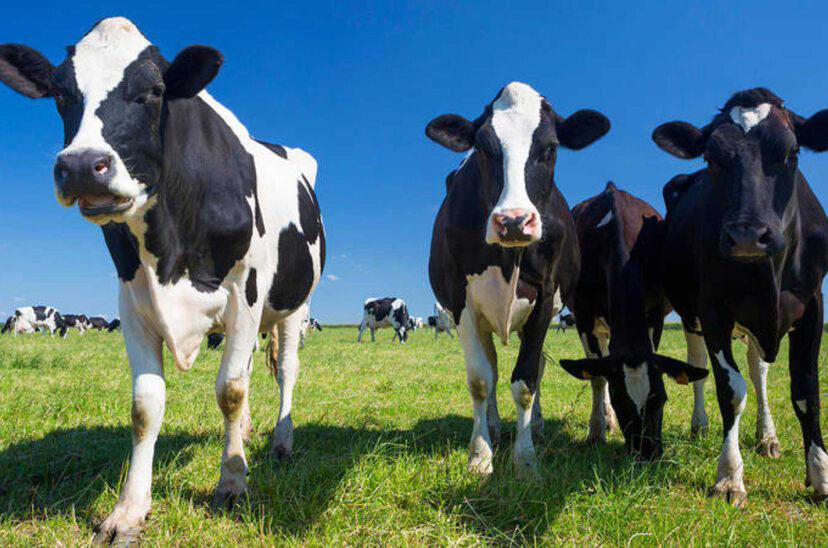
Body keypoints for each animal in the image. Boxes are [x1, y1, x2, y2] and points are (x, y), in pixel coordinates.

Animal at [0, 18, 325, 542]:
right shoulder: (132, 300)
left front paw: (232, 483)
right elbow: (145, 406)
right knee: (250, 369)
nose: (81, 165)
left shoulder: (245, 293)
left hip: (293, 306)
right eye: (60, 93)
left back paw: (280, 442)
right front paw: (129, 509)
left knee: (285, 370)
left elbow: (229, 390)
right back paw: (247, 433)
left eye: (153, 91)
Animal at [426, 81, 609, 475]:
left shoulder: (545, 297)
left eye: (551, 147)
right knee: (493, 368)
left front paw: (525, 460)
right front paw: (480, 455)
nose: (512, 221)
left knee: (535, 368)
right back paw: (494, 427)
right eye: (482, 148)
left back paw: (537, 427)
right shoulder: (460, 300)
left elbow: (525, 381)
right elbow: (481, 379)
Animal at [558, 182, 707, 458]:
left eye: (660, 398)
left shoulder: (655, 313)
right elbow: (597, 377)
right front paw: (596, 431)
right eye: (621, 403)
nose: (647, 453)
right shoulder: (584, 317)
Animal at [651, 87, 828, 505]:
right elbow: (730, 390)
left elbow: (806, 389)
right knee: (698, 365)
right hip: (692, 316)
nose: (747, 234)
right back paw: (700, 424)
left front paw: (819, 472)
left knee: (759, 371)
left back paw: (768, 437)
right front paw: (730, 476)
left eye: (791, 151)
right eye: (712, 157)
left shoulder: (813, 304)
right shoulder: (713, 310)